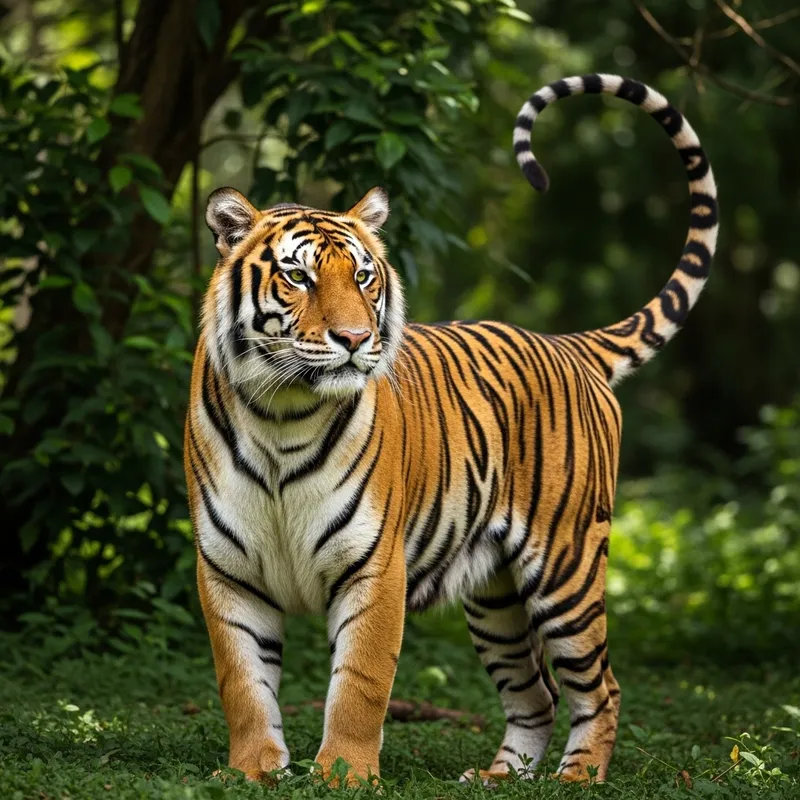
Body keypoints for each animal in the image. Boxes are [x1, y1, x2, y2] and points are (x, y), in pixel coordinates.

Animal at [185, 73, 718, 786]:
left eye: (363, 276)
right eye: (297, 276)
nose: (355, 339)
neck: (282, 413)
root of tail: (568, 345)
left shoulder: (374, 568)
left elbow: (359, 685)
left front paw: (344, 776)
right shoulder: (228, 572)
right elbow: (242, 684)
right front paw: (251, 771)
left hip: (567, 570)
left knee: (599, 687)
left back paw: (577, 778)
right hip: (495, 598)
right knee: (537, 693)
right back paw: (500, 778)